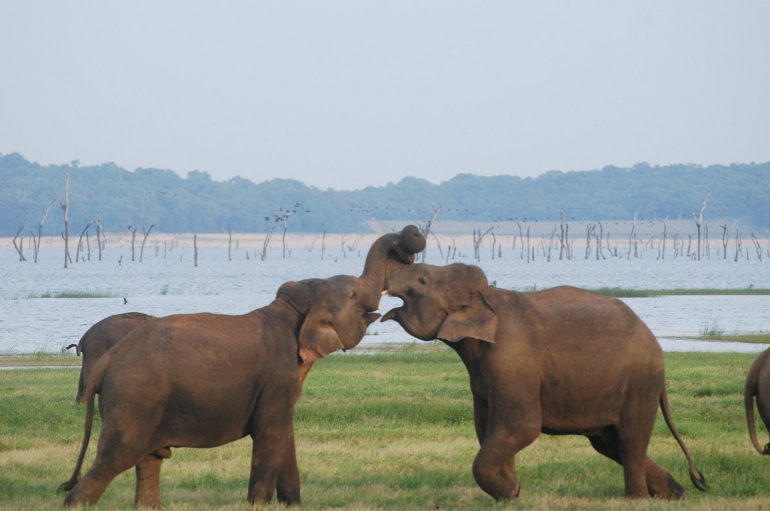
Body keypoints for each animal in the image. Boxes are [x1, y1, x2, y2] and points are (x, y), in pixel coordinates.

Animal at [61, 227, 426, 508]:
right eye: (352, 294)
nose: (407, 238)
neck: (290, 312)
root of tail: (107, 362)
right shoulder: (278, 374)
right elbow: (270, 432)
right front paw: (259, 504)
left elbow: (285, 434)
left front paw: (293, 504)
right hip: (134, 400)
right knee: (114, 460)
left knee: (148, 461)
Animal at [380, 262, 704, 502]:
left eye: (421, 280)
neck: (487, 295)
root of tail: (653, 341)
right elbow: (487, 427)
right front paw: (510, 495)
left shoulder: (511, 359)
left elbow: (521, 425)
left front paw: (512, 491)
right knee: (610, 443)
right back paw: (676, 495)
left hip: (639, 381)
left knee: (630, 439)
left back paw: (635, 500)